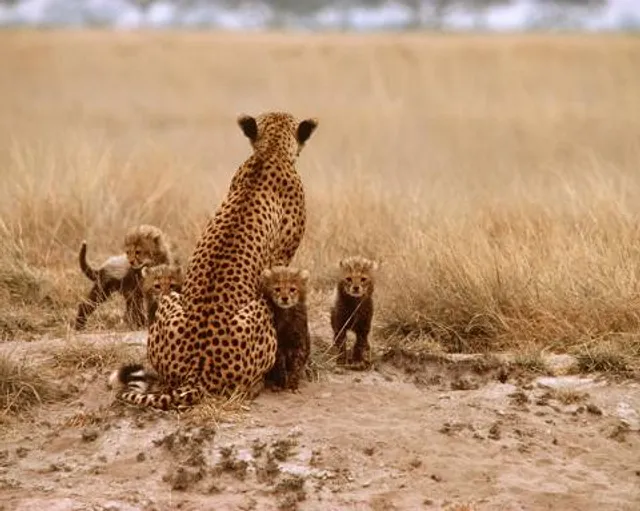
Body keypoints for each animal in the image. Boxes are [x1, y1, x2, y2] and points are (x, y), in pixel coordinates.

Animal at [109, 111, 318, 410]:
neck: (270, 151)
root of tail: (196, 372)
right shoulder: (282, 259)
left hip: (171, 299)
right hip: (258, 309)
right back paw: (256, 385)